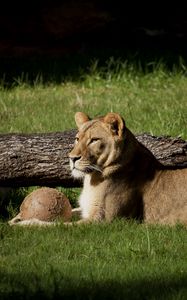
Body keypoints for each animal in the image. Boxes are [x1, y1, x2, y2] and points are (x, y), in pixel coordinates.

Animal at [9, 112, 187, 225]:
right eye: (77, 139)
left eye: (94, 140)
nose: (72, 158)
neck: (92, 178)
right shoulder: (88, 209)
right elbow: (73, 210)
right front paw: (17, 217)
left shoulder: (104, 222)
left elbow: (58, 226)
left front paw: (27, 224)